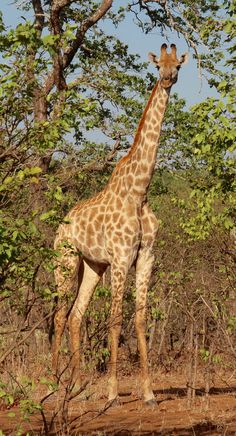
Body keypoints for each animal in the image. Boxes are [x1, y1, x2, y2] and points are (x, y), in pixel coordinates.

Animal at [53, 43, 188, 406]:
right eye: (158, 65)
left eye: (177, 66)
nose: (167, 79)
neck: (139, 191)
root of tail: (59, 227)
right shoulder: (120, 257)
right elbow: (115, 320)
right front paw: (113, 393)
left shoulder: (145, 256)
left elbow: (140, 318)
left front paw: (149, 393)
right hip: (65, 261)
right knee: (59, 315)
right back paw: (54, 383)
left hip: (92, 265)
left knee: (76, 315)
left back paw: (77, 386)